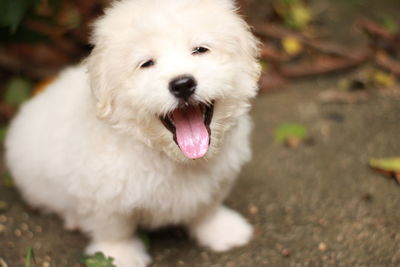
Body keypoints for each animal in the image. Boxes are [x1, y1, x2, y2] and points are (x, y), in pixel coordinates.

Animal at [6, 0, 260, 264]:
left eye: (200, 50)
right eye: (146, 63)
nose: (182, 84)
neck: (173, 157)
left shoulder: (220, 176)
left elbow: (207, 208)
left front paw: (220, 229)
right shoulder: (103, 195)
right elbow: (114, 228)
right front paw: (120, 254)